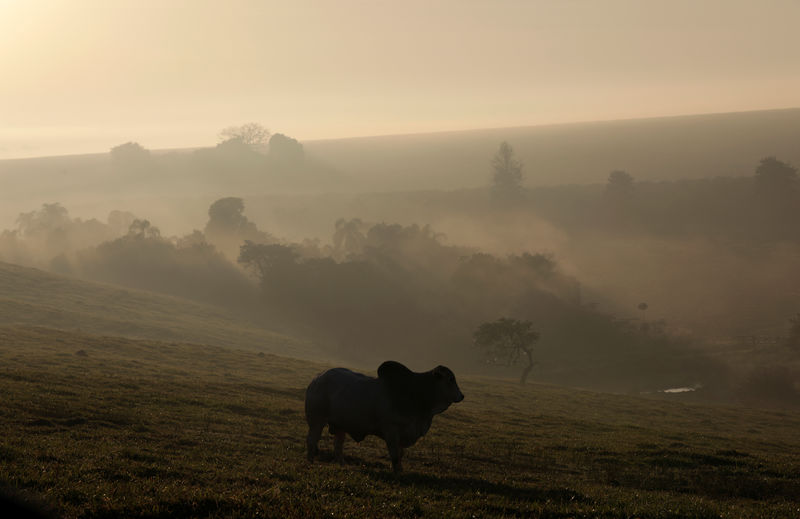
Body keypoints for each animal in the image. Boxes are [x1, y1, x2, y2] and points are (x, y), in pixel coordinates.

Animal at [304, 360, 466, 474]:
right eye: (450, 379)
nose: (461, 396)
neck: (416, 392)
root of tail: (317, 379)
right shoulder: (391, 430)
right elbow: (394, 455)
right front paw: (397, 472)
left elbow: (400, 454)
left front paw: (400, 470)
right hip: (316, 421)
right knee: (312, 440)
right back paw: (310, 462)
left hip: (340, 426)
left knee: (338, 445)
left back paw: (342, 464)